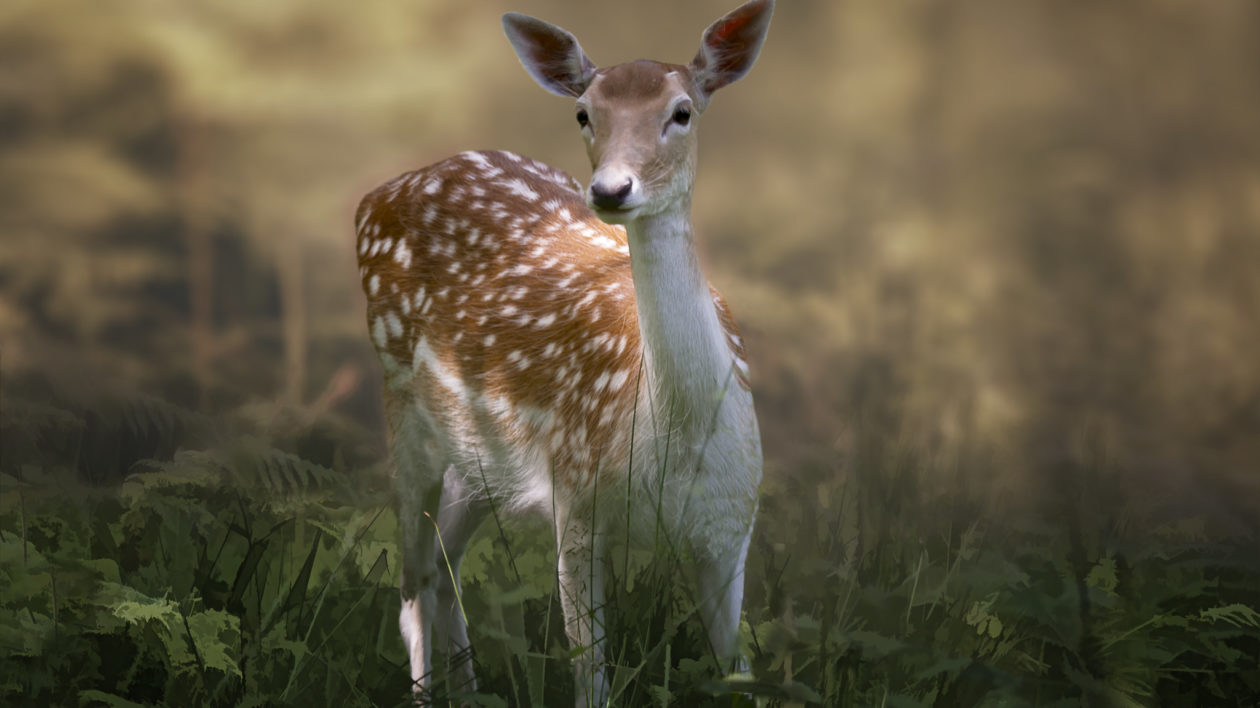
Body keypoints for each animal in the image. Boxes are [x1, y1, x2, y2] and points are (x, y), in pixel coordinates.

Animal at [350, 2, 771, 700]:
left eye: (682, 111)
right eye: (583, 112)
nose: (610, 189)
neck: (674, 437)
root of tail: (373, 194)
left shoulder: (732, 523)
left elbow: (738, 672)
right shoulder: (577, 499)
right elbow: (590, 674)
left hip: (482, 456)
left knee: (443, 565)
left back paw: (473, 692)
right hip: (402, 401)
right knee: (412, 583)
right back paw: (429, 691)